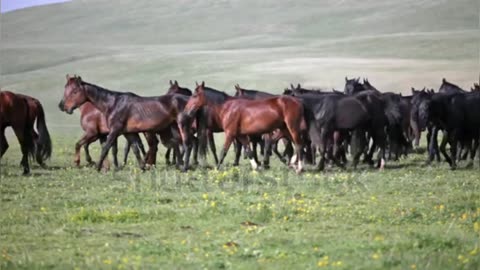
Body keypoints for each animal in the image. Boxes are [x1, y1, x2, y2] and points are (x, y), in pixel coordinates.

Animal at [59, 74, 187, 171]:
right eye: (65, 89)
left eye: (75, 91)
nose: (62, 106)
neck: (113, 104)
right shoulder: (126, 133)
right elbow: (134, 149)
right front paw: (141, 167)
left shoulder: (110, 131)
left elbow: (104, 148)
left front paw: (95, 166)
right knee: (172, 144)